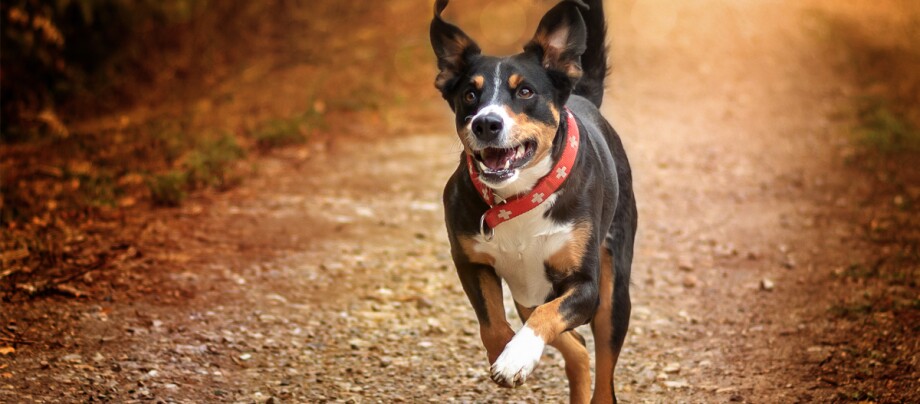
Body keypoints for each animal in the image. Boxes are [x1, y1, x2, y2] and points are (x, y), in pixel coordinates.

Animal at [430, 0, 632, 402]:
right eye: (470, 95)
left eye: (524, 91)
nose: (486, 123)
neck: (520, 198)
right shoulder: (470, 261)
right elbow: (493, 324)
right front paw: (508, 351)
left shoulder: (584, 286)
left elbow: (547, 317)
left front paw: (515, 357)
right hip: (528, 290)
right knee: (577, 348)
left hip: (613, 294)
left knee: (604, 375)